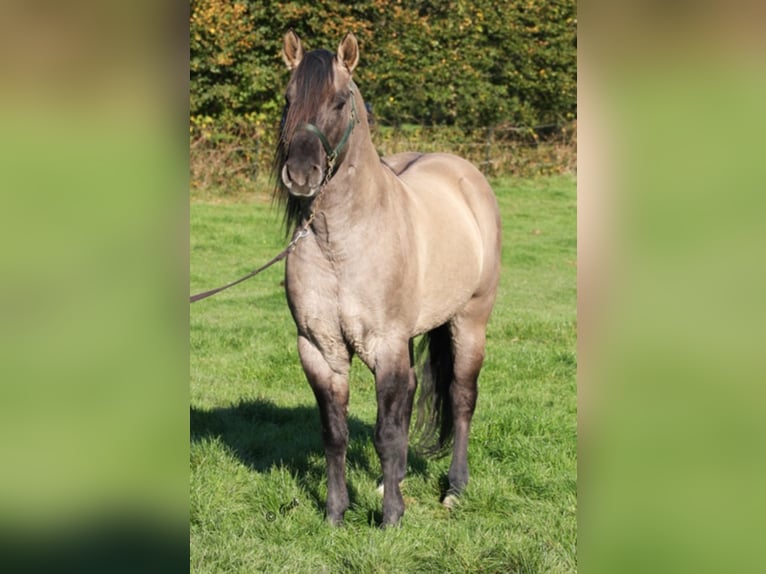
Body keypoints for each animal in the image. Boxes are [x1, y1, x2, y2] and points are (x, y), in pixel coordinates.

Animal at [274, 30, 501, 527]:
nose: (300, 175)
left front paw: (392, 517)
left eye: (339, 101)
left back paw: (454, 488)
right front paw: (336, 513)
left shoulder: (385, 345)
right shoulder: (319, 350)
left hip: (469, 321)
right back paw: (387, 481)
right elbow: (335, 434)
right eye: (287, 99)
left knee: (461, 397)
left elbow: (387, 433)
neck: (340, 245)